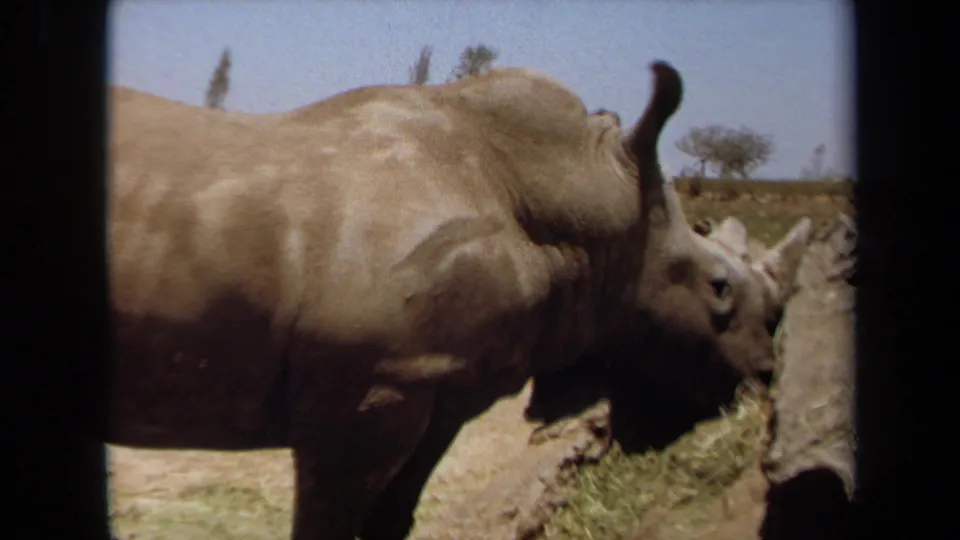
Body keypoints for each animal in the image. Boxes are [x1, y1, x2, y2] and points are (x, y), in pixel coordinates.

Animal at [108, 61, 810, 540]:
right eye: (718, 287)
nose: (765, 376)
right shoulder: (371, 385)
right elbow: (328, 521)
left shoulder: (440, 383)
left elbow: (396, 512)